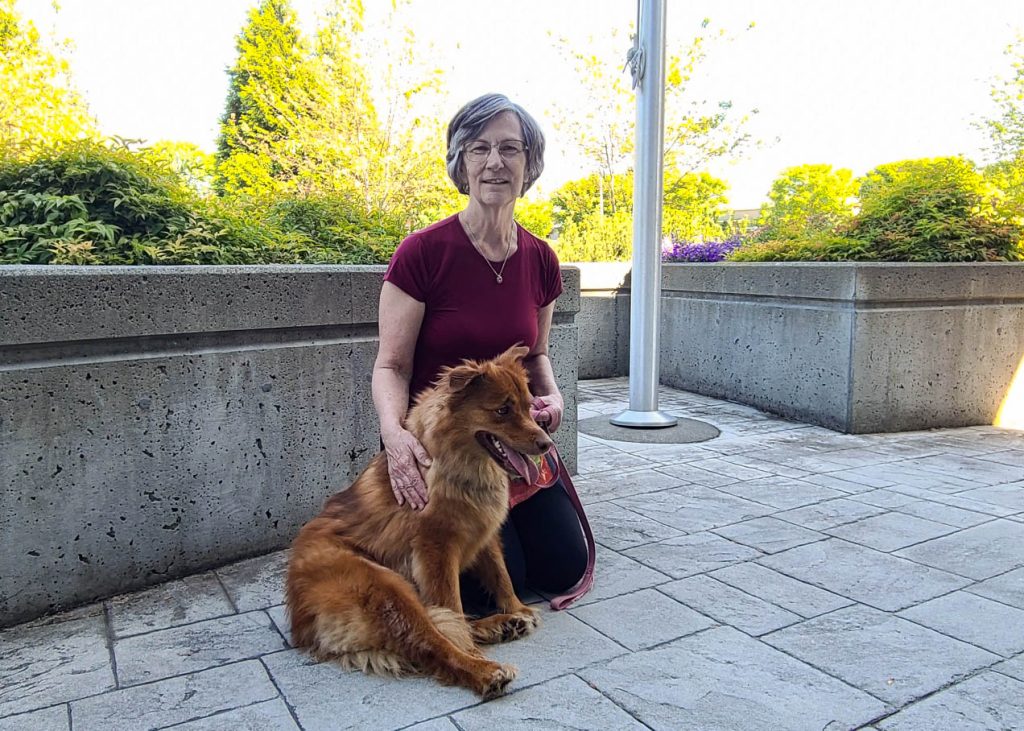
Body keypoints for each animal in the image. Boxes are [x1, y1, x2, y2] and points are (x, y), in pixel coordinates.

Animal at [284, 344, 557, 696]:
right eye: (502, 410)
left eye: (528, 406)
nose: (547, 444)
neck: (457, 465)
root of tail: (300, 620)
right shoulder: (435, 550)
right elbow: (451, 603)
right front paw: (484, 644)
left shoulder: (484, 532)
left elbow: (501, 574)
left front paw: (516, 608)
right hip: (385, 588)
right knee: (432, 639)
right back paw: (483, 669)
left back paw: (502, 625)